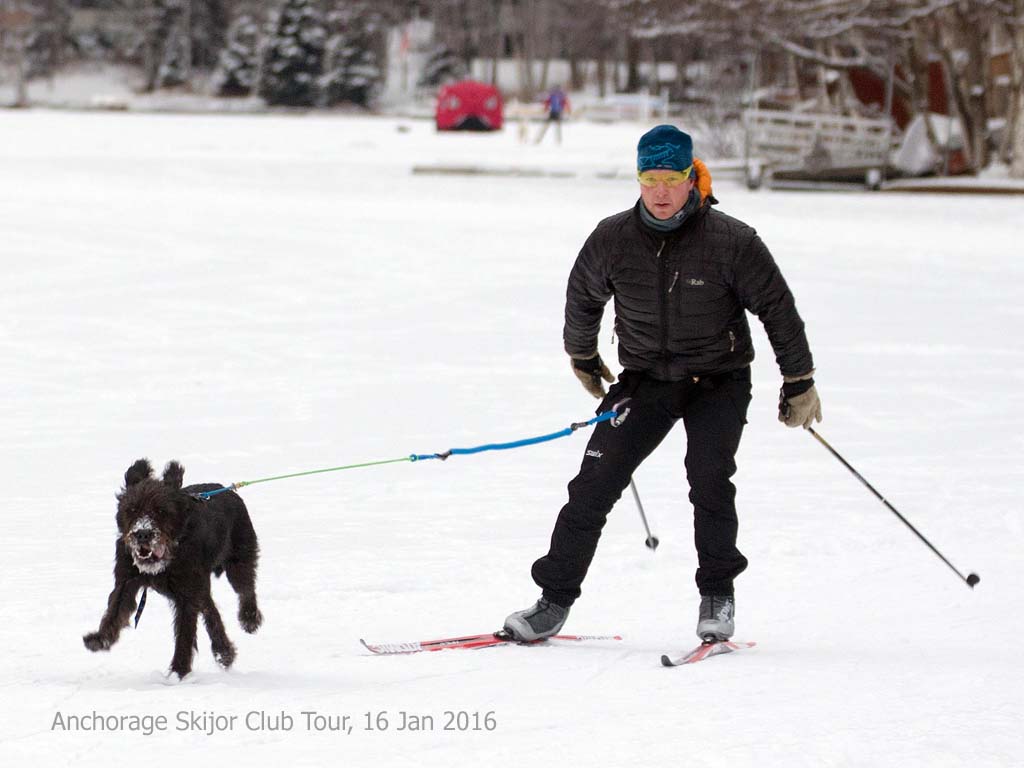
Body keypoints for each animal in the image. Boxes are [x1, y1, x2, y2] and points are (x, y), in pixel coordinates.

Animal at [83, 460, 262, 675]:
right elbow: (115, 611)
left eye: (161, 510)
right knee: (211, 608)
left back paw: (249, 619)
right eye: (132, 509)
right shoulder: (126, 581)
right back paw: (224, 653)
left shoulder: (187, 595)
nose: (142, 534)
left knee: (246, 588)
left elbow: (185, 634)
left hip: (238, 559)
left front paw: (179, 671)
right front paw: (99, 639)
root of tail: (230, 491)